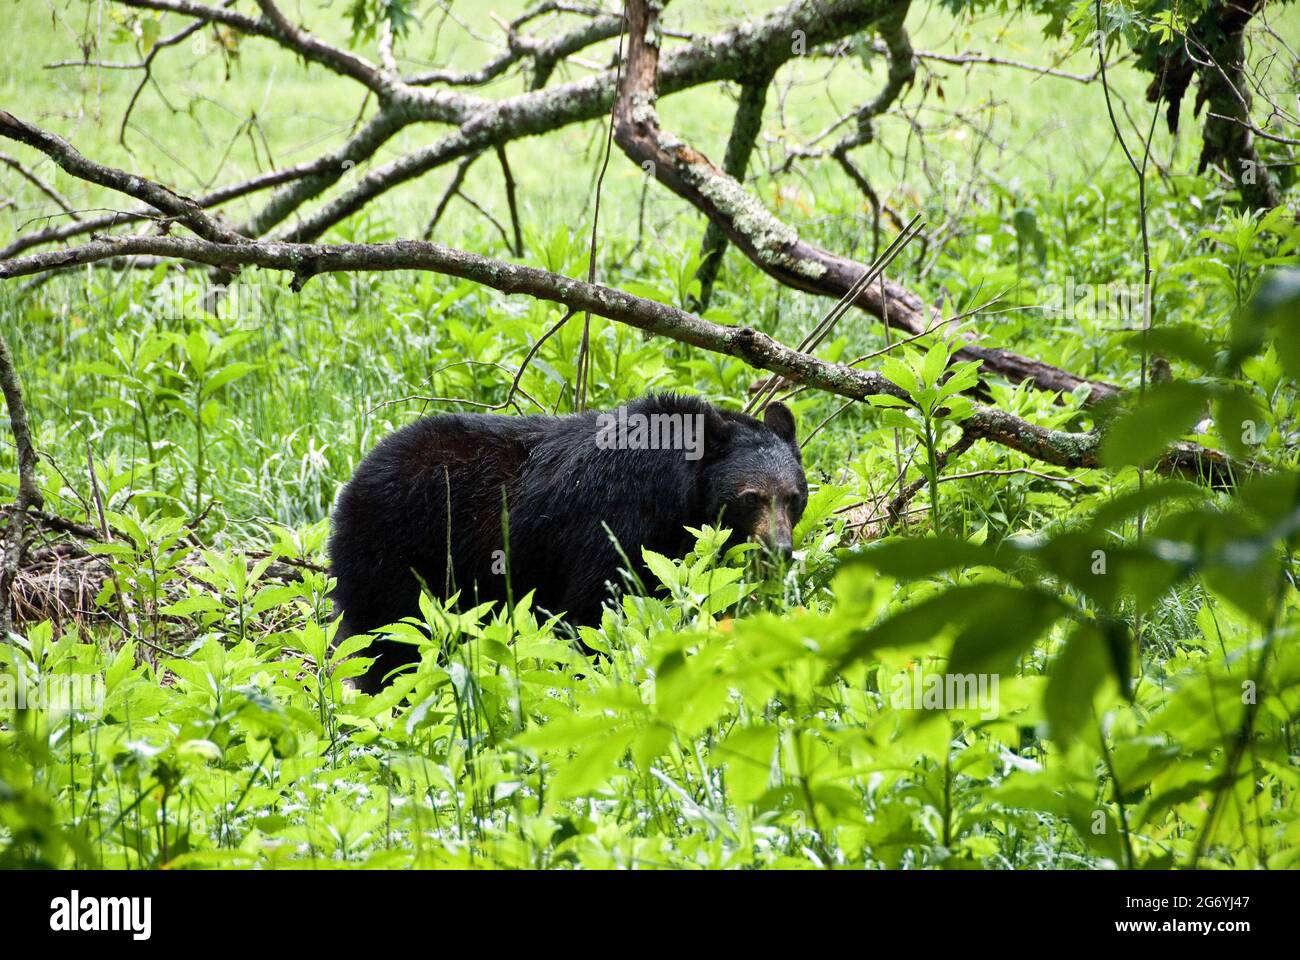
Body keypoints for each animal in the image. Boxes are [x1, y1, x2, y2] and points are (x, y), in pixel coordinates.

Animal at [328, 393, 807, 692]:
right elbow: (593, 610)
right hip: (394, 554)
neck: (678, 488)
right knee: (389, 644)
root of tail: (350, 485)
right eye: (751, 497)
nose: (781, 551)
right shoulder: (616, 519)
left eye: (794, 497)